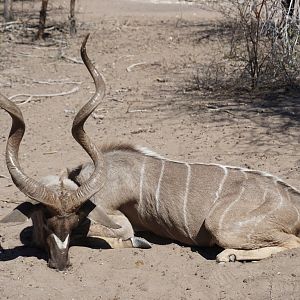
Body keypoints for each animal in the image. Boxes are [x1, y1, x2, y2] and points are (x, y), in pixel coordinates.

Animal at [0, 35, 300, 272]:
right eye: (47, 221)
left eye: (73, 223)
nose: (61, 264)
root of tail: (294, 202)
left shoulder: (114, 219)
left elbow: (117, 234)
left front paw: (137, 241)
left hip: (220, 226)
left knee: (292, 241)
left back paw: (230, 255)